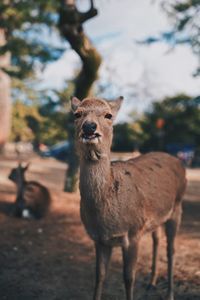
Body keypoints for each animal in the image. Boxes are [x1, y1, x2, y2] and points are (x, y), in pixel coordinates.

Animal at [71, 96, 187, 300]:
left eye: (108, 115)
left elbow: (128, 277)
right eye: (77, 114)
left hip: (177, 206)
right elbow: (99, 276)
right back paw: (151, 282)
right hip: (156, 218)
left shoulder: (133, 232)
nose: (89, 126)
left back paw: (170, 294)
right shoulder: (99, 239)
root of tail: (180, 164)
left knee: (171, 250)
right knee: (157, 239)